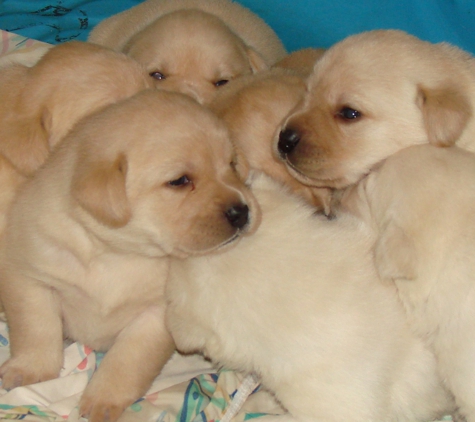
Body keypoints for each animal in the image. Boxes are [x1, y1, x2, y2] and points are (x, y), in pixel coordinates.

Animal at [0, 89, 258, 422]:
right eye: (180, 181)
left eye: (232, 164)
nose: (242, 211)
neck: (116, 253)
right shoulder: (29, 276)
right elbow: (36, 330)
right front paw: (30, 370)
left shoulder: (154, 317)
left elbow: (127, 360)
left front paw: (103, 400)